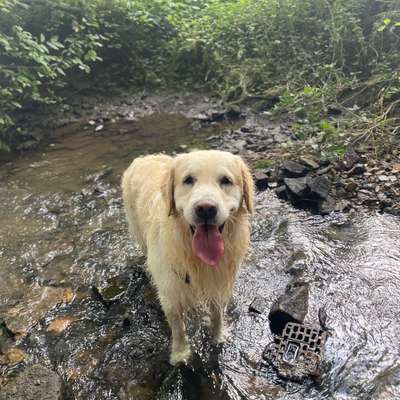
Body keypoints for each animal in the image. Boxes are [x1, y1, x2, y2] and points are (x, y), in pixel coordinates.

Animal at [120, 150, 255, 366]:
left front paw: (218, 336)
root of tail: (144, 157)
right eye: (188, 180)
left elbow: (217, 313)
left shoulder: (218, 281)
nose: (206, 208)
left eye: (225, 180)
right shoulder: (170, 291)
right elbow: (178, 327)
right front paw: (180, 354)